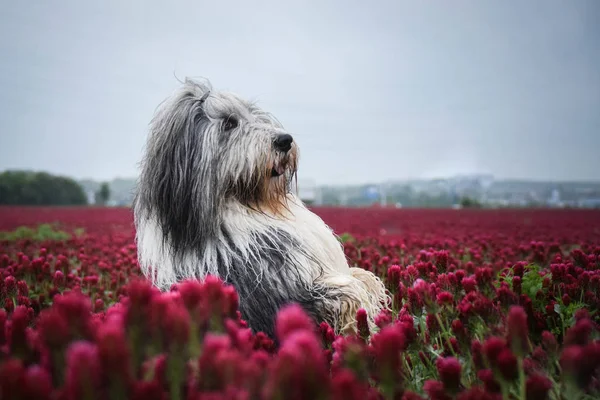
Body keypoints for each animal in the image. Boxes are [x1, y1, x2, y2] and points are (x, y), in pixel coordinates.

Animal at [132, 77, 390, 338]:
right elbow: (350, 293)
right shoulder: (288, 294)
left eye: (253, 115)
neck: (253, 206)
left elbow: (363, 277)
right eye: (229, 123)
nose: (285, 140)